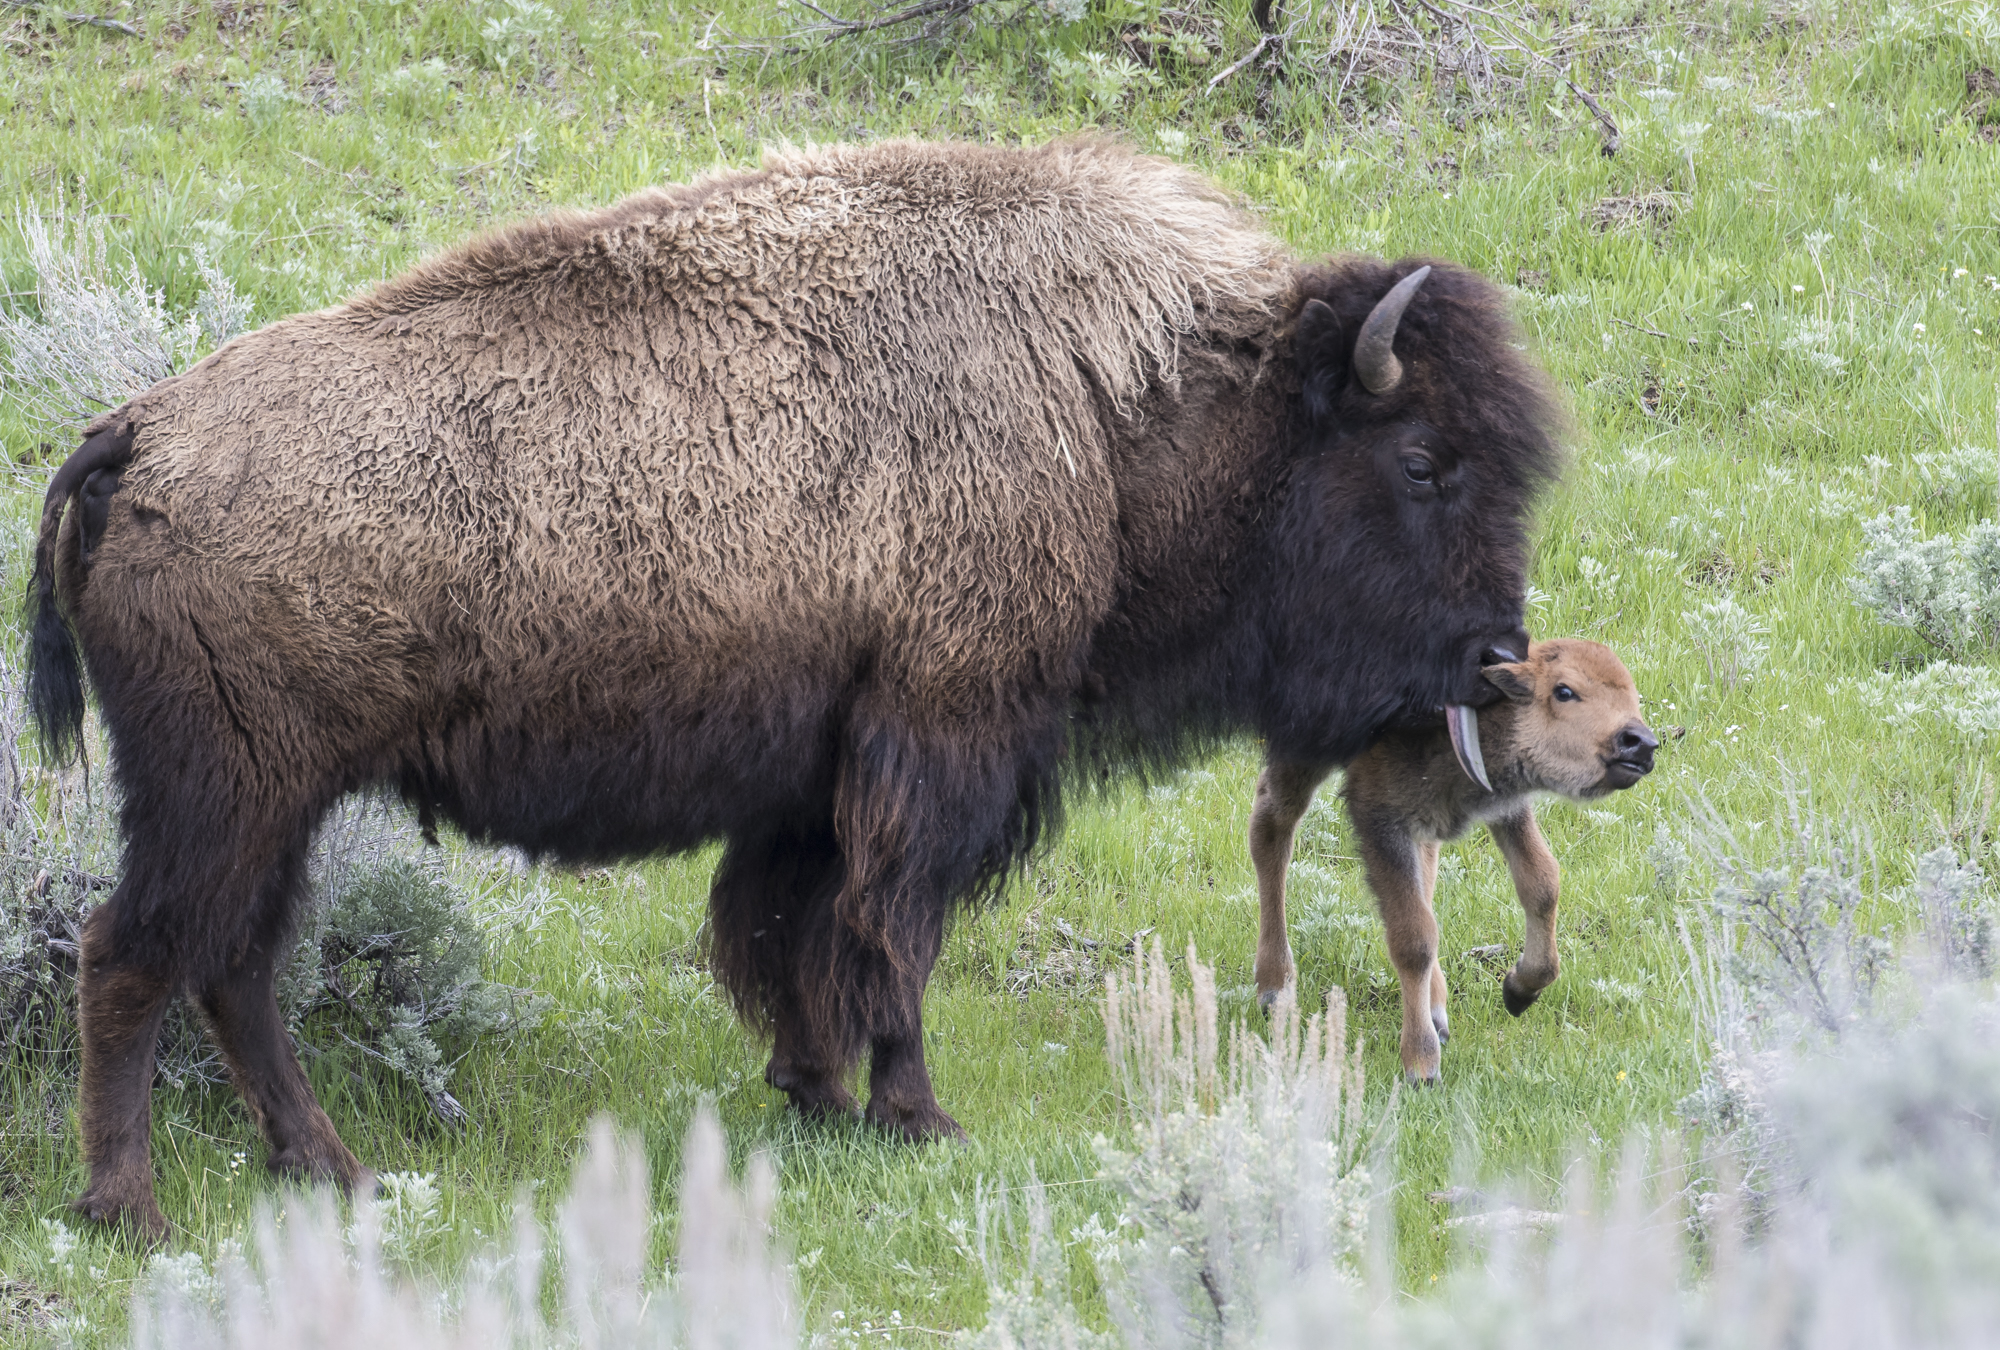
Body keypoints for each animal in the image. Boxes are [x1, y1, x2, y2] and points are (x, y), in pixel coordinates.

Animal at [26, 137, 1561, 1242]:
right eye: (1422, 460)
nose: (1496, 658)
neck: (1124, 403)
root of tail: (136, 436)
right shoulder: (938, 736)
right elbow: (888, 935)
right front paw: (916, 1114)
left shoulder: (819, 777)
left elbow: (797, 930)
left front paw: (813, 1093)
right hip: (225, 792)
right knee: (136, 953)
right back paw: (130, 1208)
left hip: (269, 806)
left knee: (231, 966)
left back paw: (330, 1174)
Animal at [1246, 640, 1657, 1079]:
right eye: (1564, 691)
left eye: (1632, 694)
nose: (1641, 743)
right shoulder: (1379, 820)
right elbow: (1413, 938)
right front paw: (1421, 1065)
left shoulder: (1503, 809)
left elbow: (1542, 883)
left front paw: (1519, 990)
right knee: (1271, 827)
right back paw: (1274, 988)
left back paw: (1436, 1009)